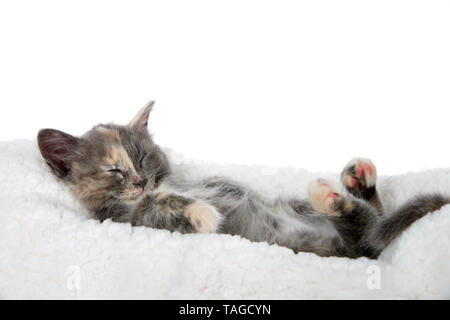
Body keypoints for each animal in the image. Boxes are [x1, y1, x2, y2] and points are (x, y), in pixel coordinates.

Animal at [36, 101, 450, 258]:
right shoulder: (124, 219)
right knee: (365, 229)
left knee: (373, 219)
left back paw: (357, 179)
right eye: (114, 170)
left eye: (142, 157)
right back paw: (332, 195)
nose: (139, 182)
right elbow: (158, 207)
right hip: (339, 244)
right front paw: (203, 213)